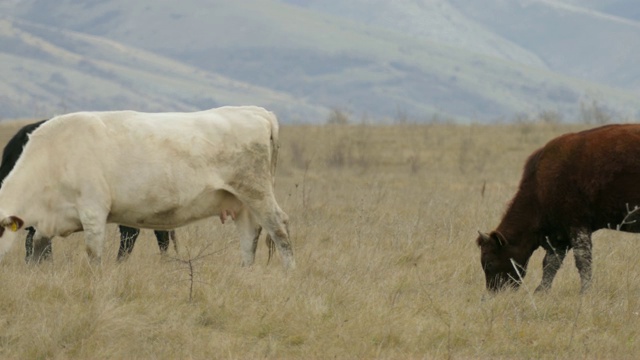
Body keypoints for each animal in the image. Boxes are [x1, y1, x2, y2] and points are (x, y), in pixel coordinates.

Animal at [476, 124, 640, 292]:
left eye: (489, 262)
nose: (493, 291)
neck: (540, 186)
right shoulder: (559, 237)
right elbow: (550, 264)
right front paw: (540, 291)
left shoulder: (577, 226)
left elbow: (582, 261)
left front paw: (584, 291)